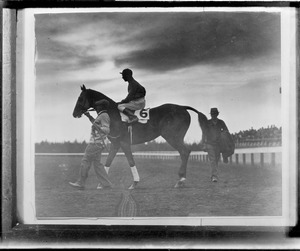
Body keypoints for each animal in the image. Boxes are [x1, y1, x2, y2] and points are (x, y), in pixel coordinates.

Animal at [73, 84, 209, 188]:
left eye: (80, 98)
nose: (74, 113)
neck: (113, 114)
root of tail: (182, 107)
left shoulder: (124, 143)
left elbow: (131, 161)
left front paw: (134, 183)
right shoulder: (116, 144)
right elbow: (108, 161)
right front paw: (102, 184)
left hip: (173, 137)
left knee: (185, 152)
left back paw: (181, 180)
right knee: (184, 152)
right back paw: (181, 179)